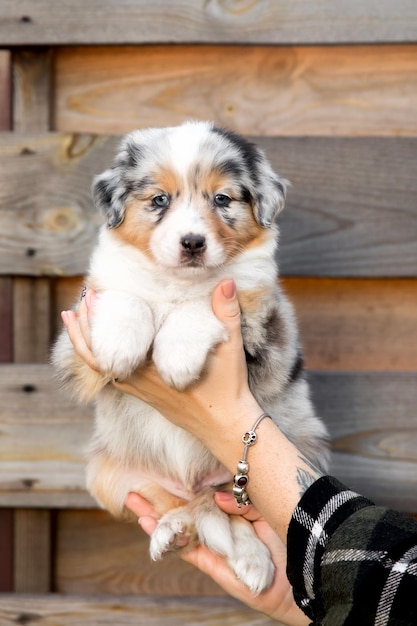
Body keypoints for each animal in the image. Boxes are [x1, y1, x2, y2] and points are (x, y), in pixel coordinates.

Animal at [52, 119, 330, 592]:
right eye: (159, 200)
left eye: (222, 199)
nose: (193, 243)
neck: (176, 281)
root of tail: (196, 484)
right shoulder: (76, 338)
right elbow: (127, 295)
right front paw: (120, 344)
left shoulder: (258, 322)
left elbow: (202, 301)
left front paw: (177, 357)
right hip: (110, 475)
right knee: (191, 509)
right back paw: (174, 532)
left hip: (297, 456)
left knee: (229, 515)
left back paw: (253, 562)